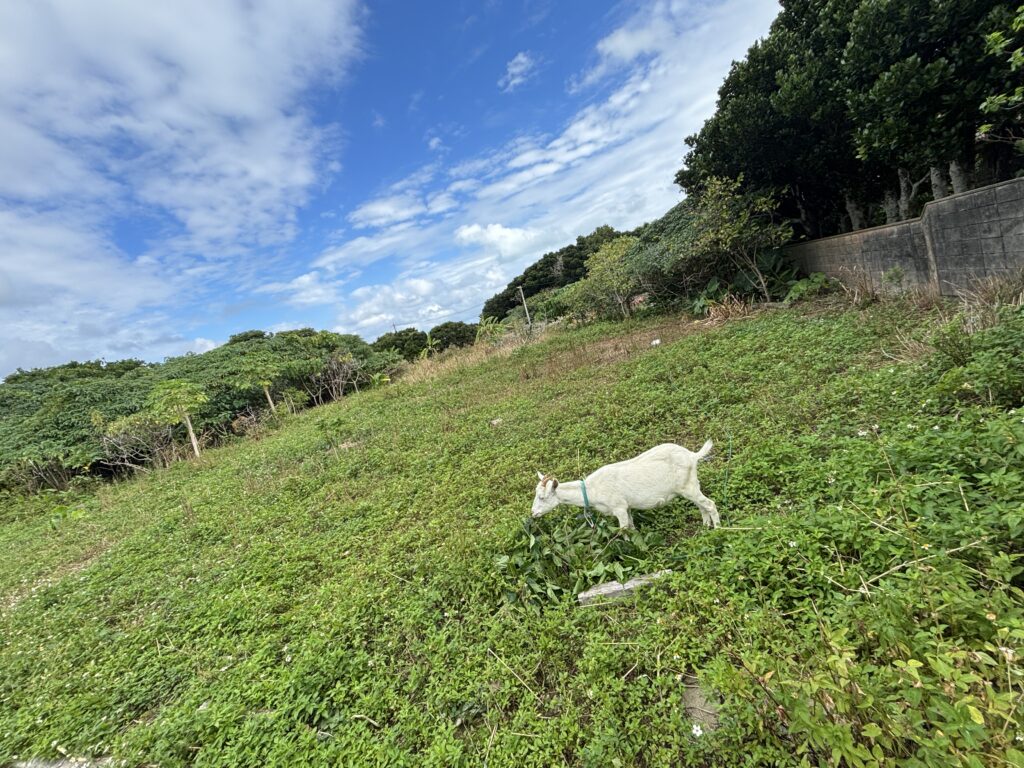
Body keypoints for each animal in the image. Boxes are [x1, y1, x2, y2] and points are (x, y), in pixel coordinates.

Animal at [532, 442, 716, 532]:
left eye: (542, 497)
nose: (533, 513)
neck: (592, 489)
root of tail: (693, 455)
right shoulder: (627, 507)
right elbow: (632, 528)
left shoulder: (618, 507)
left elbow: (623, 531)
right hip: (690, 486)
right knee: (702, 506)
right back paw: (705, 527)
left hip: (688, 486)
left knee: (710, 504)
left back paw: (718, 529)